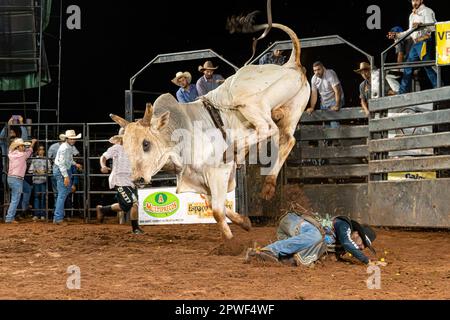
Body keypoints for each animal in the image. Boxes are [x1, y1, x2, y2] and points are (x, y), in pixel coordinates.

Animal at [110, 11, 312, 239]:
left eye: (146, 144)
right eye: (125, 148)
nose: (136, 179)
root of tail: (291, 64)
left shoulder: (217, 172)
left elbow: (216, 210)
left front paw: (230, 240)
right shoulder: (198, 179)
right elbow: (217, 205)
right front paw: (244, 222)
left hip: (246, 99)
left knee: (267, 128)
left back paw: (233, 149)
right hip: (291, 110)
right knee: (286, 139)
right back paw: (267, 184)